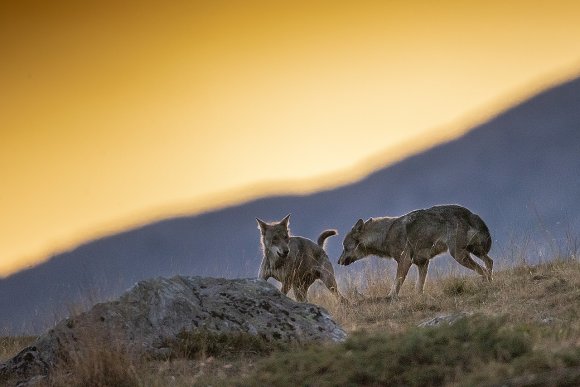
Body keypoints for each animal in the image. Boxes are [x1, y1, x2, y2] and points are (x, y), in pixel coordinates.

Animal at [336, 206, 494, 300]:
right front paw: (419, 298)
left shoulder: (405, 261)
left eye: (345, 247)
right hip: (473, 251)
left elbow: (397, 283)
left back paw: (485, 286)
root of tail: (470, 213)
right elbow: (419, 286)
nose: (338, 261)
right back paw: (491, 282)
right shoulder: (422, 262)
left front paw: (390, 297)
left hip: (459, 255)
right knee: (489, 263)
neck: (385, 234)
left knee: (482, 270)